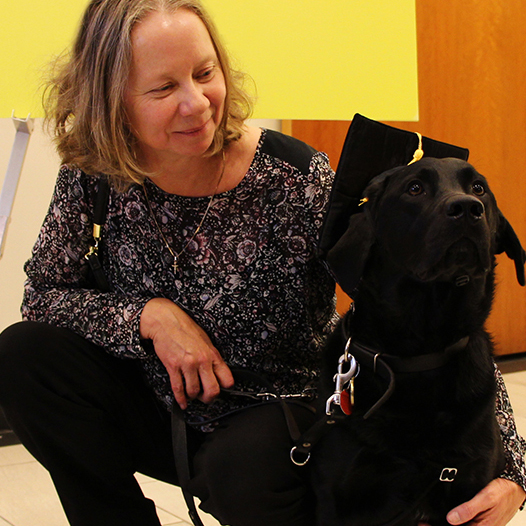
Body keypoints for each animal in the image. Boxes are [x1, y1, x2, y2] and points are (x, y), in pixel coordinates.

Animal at [314, 159, 526, 526]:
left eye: (479, 188)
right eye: (414, 188)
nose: (468, 208)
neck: (420, 352)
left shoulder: (467, 490)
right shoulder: (337, 495)